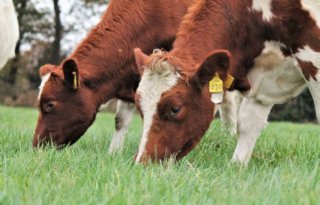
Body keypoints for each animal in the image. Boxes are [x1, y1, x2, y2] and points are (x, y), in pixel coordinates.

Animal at [134, 0, 320, 164]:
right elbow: (247, 123)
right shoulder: (263, 81)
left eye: (175, 109)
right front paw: (237, 165)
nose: (142, 162)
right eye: (139, 107)